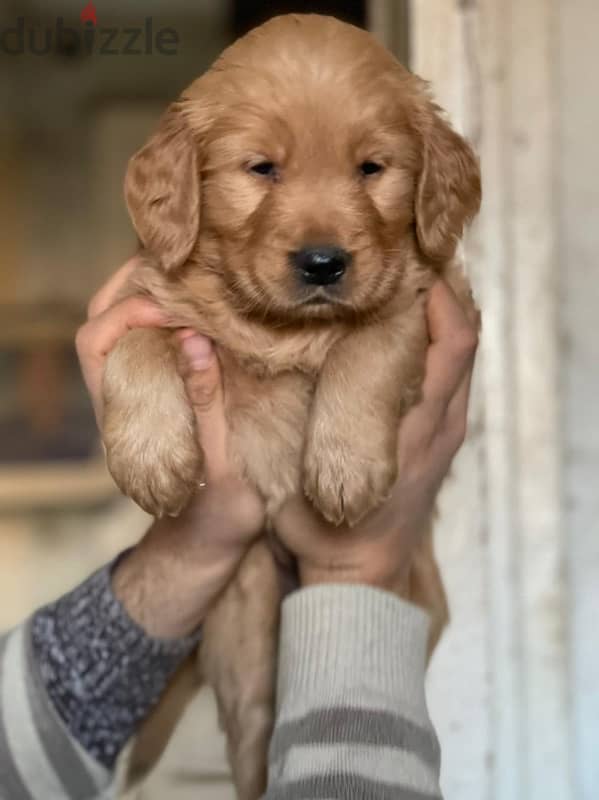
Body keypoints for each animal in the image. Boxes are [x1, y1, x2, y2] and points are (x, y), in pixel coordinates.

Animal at [103, 14, 482, 800]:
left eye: (371, 168)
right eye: (262, 169)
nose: (323, 263)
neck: (282, 329)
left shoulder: (426, 301)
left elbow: (366, 346)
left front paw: (342, 469)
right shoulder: (150, 293)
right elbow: (137, 344)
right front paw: (151, 459)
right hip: (247, 637)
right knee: (255, 746)